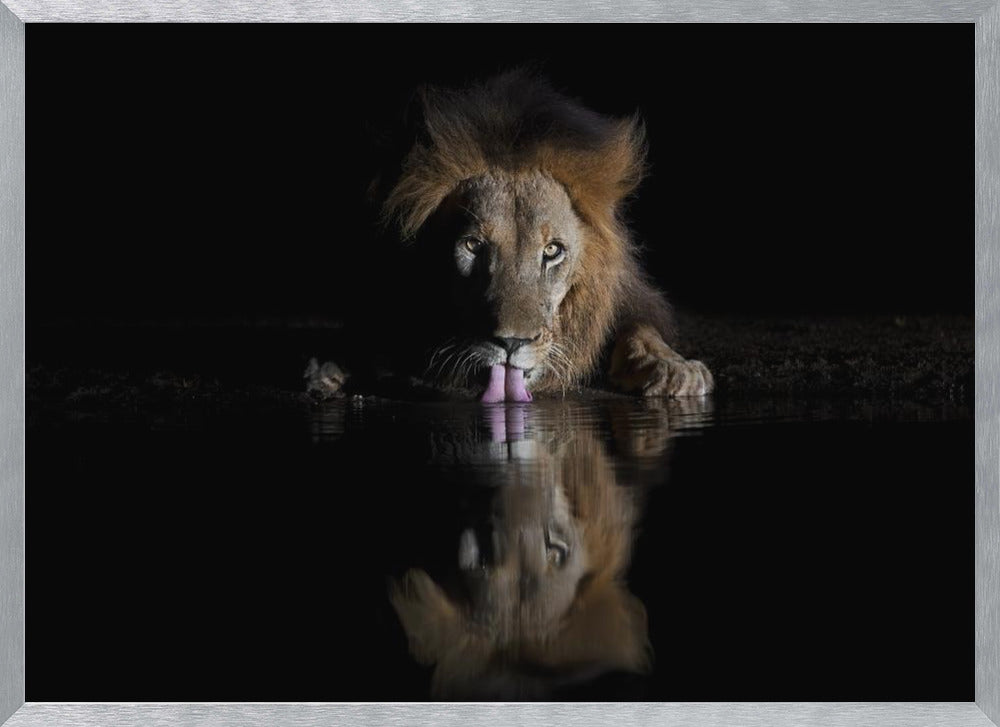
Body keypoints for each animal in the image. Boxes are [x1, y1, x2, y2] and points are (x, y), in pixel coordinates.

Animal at [308, 71, 713, 402]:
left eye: (552, 251)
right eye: (473, 246)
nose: (511, 343)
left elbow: (640, 328)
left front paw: (674, 368)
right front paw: (330, 365)